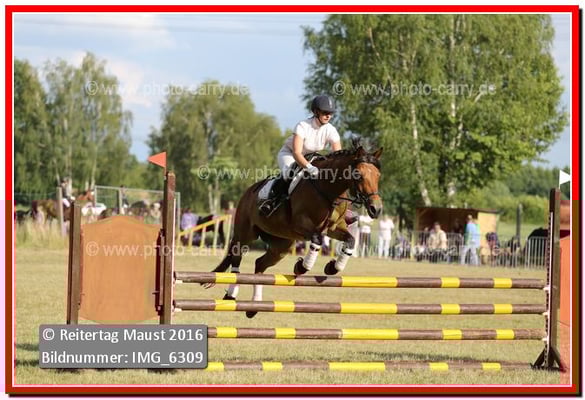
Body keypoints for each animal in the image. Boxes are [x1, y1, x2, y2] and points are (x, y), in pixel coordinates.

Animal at [204, 145, 383, 318]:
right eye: (358, 174)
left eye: (378, 175)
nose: (376, 209)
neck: (327, 190)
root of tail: (248, 191)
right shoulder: (301, 225)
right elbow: (317, 240)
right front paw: (302, 267)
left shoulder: (333, 228)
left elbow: (350, 240)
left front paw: (333, 267)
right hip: (245, 233)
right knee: (237, 257)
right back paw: (231, 294)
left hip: (282, 246)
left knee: (260, 264)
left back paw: (255, 306)